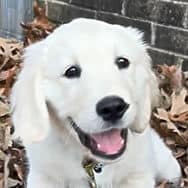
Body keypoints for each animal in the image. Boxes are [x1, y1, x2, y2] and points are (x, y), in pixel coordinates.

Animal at [10, 18, 181, 188]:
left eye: (122, 62)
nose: (113, 107)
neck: (95, 164)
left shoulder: (138, 175)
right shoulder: (44, 176)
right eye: (71, 71)